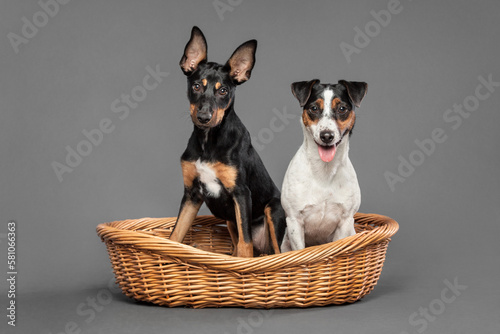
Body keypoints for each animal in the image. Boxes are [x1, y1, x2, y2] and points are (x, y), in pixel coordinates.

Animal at [169, 27, 284, 258]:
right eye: (196, 86)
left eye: (223, 91)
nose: (204, 117)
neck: (208, 141)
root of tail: (264, 249)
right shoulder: (191, 194)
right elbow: (176, 235)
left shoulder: (241, 193)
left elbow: (245, 244)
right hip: (231, 221)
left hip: (273, 211)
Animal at [282, 79, 368, 250]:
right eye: (314, 108)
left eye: (342, 108)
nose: (327, 136)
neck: (324, 171)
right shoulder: (294, 221)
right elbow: (300, 252)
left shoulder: (345, 222)